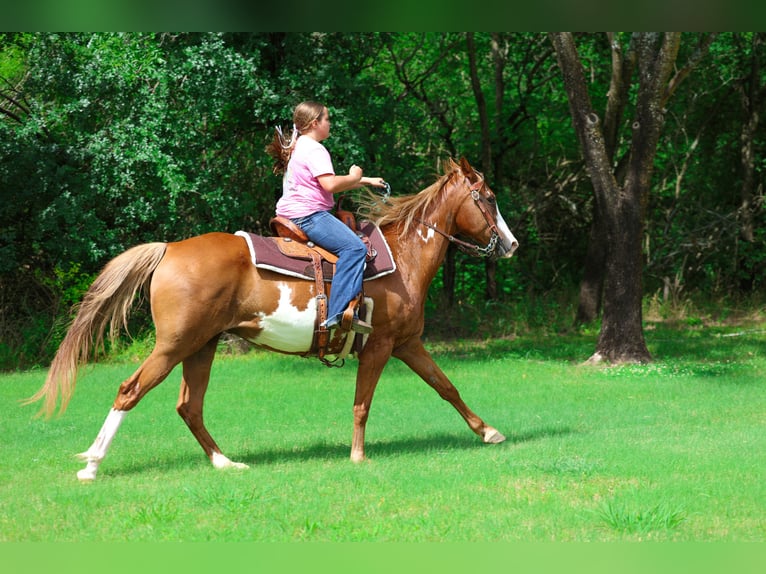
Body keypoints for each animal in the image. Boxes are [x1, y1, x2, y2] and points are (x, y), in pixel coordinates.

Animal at [26, 157, 519, 481]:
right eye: (490, 198)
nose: (511, 244)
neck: (403, 258)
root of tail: (169, 249)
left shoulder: (408, 344)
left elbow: (446, 387)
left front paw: (489, 432)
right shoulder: (379, 347)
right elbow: (362, 403)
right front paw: (358, 456)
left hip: (201, 346)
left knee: (189, 406)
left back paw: (225, 462)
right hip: (173, 345)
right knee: (131, 391)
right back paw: (92, 464)